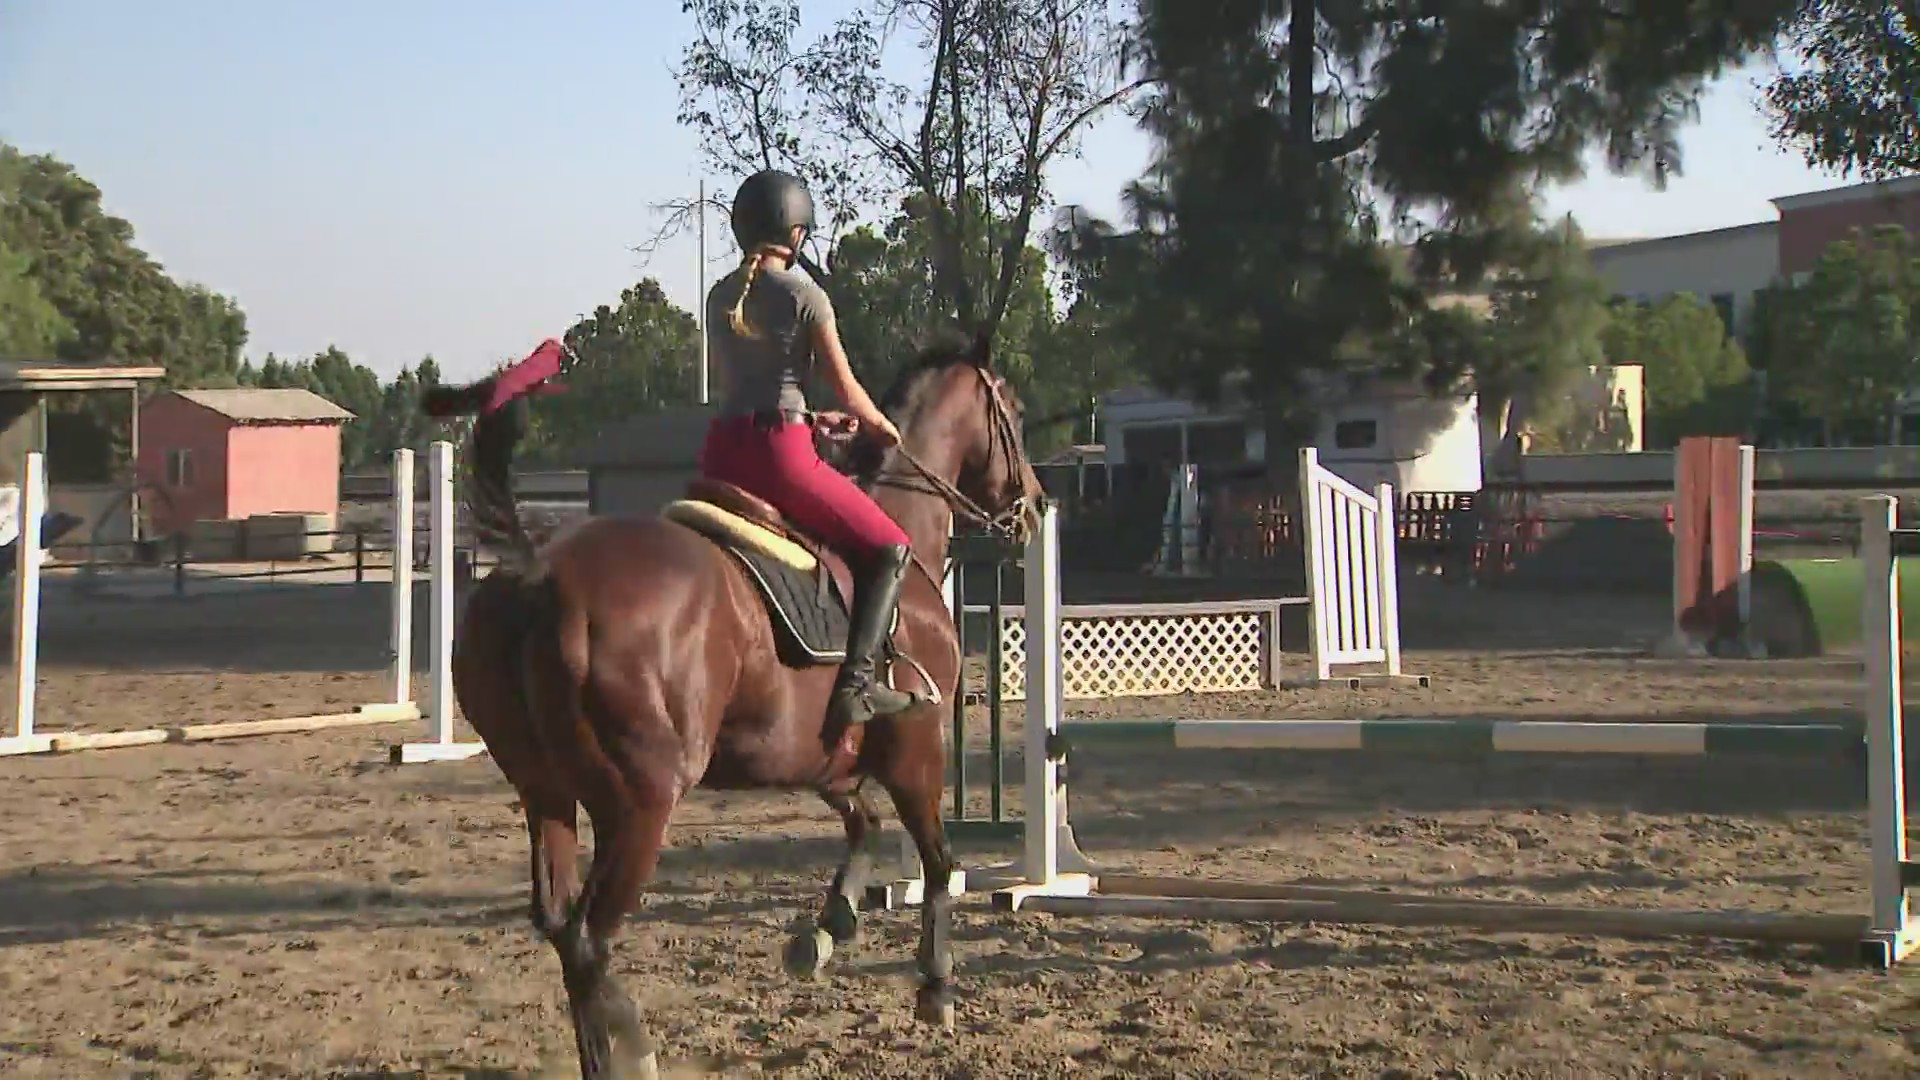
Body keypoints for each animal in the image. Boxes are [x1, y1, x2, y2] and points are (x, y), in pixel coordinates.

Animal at [428, 336, 1044, 1076]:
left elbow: (861, 822)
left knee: (557, 922)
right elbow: (938, 862)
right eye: (1013, 409)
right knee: (586, 938)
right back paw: (631, 1046)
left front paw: (827, 929)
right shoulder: (916, 748)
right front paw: (937, 986)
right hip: (640, 802)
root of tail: (537, 568)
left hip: (545, 792)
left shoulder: (823, 754)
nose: (1035, 507)